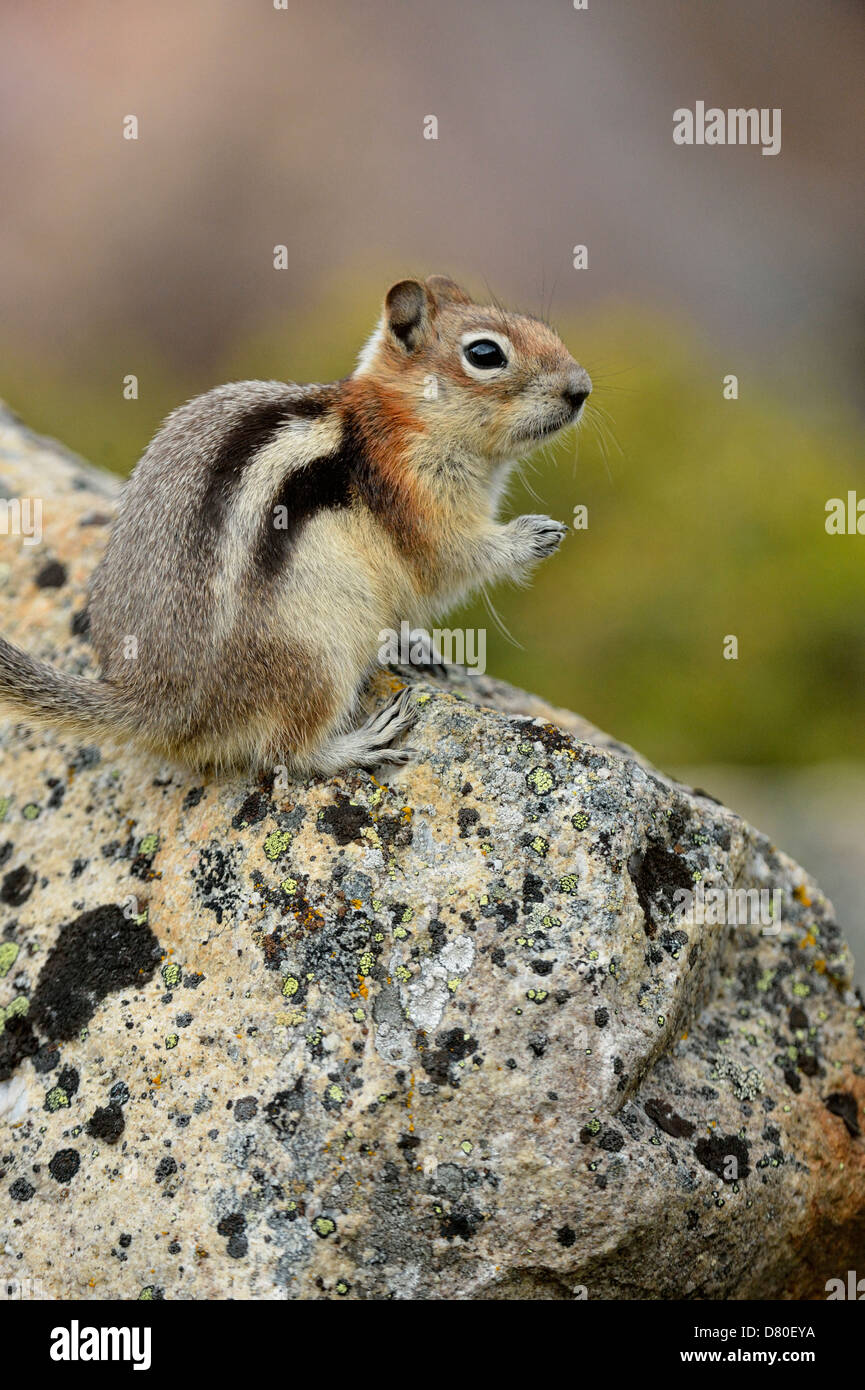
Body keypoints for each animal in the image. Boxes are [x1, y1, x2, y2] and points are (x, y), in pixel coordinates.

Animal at [0, 276, 592, 778]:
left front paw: (422, 648)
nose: (582, 387)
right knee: (285, 752)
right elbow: (453, 558)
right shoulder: (417, 504)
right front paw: (531, 535)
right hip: (317, 656)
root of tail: (155, 700)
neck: (397, 419)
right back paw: (362, 743)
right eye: (485, 354)